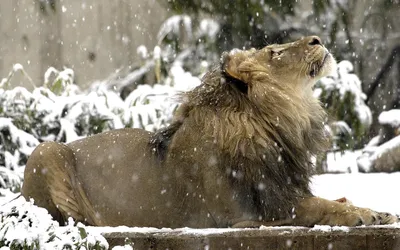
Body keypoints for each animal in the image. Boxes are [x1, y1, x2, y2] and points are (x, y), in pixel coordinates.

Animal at [21, 35, 396, 229]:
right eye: (274, 52)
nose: (317, 39)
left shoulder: (284, 190)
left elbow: (337, 199)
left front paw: (376, 210)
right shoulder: (251, 214)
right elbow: (323, 207)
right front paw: (369, 215)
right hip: (47, 150)